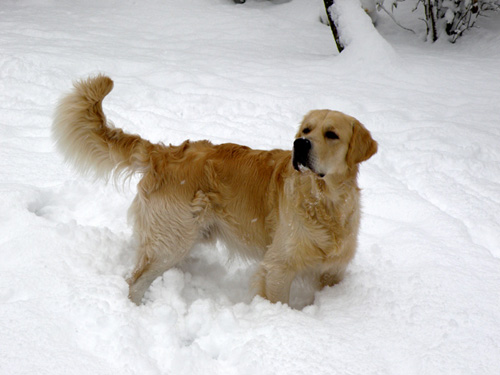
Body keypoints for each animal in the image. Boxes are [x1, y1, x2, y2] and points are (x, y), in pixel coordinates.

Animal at [52, 75, 376, 306]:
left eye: (331, 134)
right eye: (306, 130)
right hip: (172, 238)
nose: (299, 144)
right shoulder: (279, 266)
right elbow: (277, 301)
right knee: (135, 281)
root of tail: (164, 153)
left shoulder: (333, 271)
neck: (324, 200)